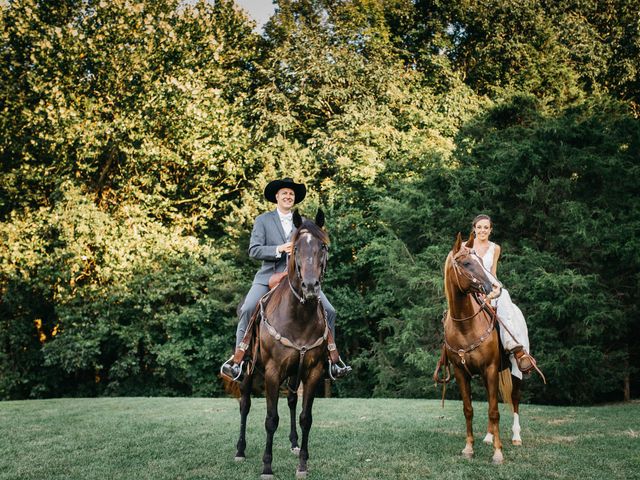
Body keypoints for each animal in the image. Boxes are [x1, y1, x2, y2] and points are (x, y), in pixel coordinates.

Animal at [234, 210, 330, 480]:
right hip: (247, 370)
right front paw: (267, 466)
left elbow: (306, 418)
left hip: (294, 375)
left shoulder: (312, 372)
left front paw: (303, 464)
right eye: (295, 248)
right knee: (244, 405)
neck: (299, 316)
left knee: (292, 401)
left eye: (323, 246)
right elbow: (271, 419)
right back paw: (240, 450)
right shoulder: (272, 372)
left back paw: (294, 444)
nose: (310, 286)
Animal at [436, 232, 524, 464]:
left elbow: (494, 411)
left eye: (482, 263)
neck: (465, 326)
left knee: (515, 399)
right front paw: (469, 448)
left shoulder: (491, 368)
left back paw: (516, 437)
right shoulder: (460, 372)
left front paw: (498, 452)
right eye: (467, 263)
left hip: (516, 371)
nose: (495, 288)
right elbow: (469, 410)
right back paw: (488, 436)